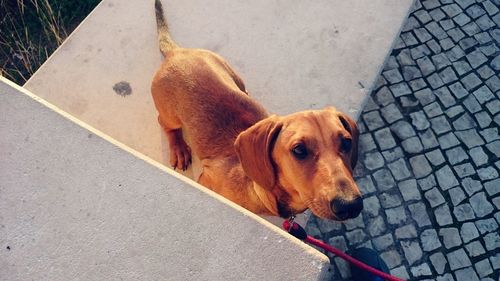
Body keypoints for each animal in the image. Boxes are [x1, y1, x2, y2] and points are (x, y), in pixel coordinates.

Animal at [150, 0, 362, 220]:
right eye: (299, 150)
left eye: (347, 142)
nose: (350, 205)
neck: (259, 188)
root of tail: (176, 52)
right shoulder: (207, 180)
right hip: (170, 114)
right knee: (165, 123)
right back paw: (179, 148)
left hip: (232, 73)